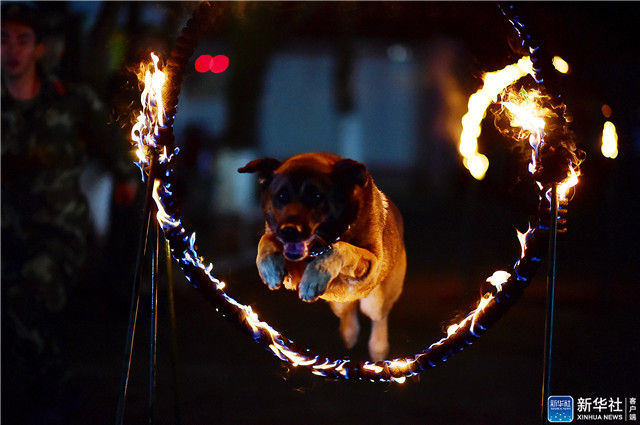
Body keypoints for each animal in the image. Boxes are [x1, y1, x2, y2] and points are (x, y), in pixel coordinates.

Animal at [240, 152, 404, 358]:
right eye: (282, 196)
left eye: (317, 197)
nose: (289, 231)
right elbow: (266, 239)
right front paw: (269, 270)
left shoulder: (370, 264)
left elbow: (340, 248)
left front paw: (315, 276)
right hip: (339, 303)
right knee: (348, 310)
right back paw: (349, 333)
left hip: (375, 300)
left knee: (378, 317)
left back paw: (378, 347)